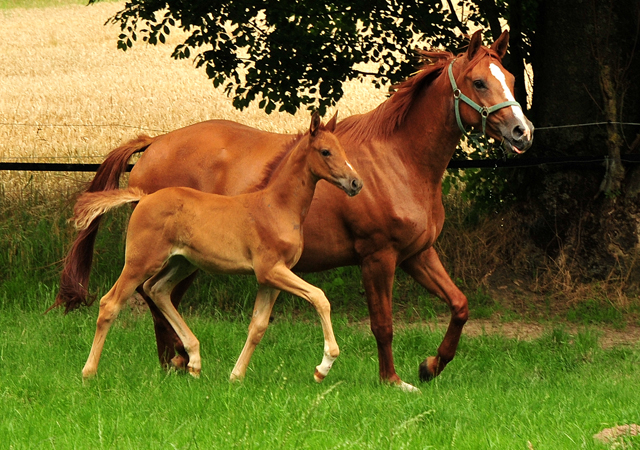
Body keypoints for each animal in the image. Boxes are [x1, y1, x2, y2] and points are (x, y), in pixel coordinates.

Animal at [73, 111, 362, 380]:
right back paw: (89, 372)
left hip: (182, 262)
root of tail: (143, 197)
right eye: (325, 151)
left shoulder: (272, 278)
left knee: (157, 289)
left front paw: (236, 376)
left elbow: (258, 326)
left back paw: (194, 361)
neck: (276, 207)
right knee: (111, 303)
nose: (355, 183)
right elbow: (319, 297)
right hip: (141, 261)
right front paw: (323, 366)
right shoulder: (270, 270)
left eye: (342, 149)